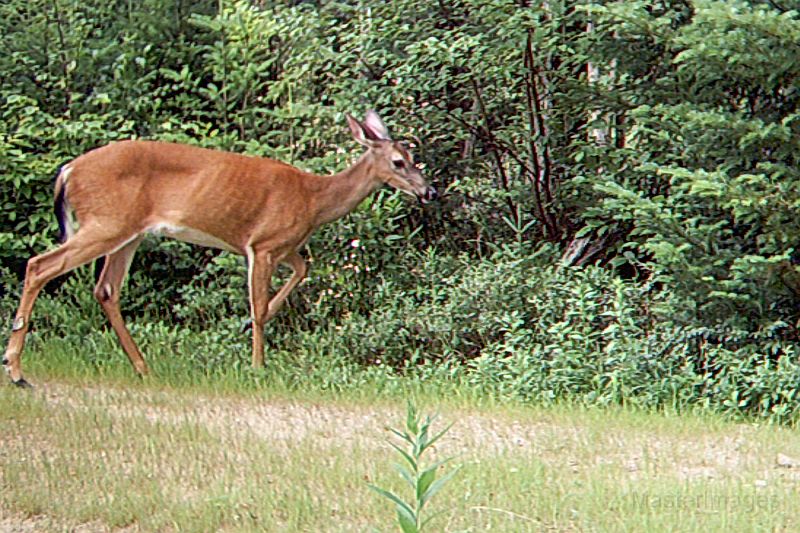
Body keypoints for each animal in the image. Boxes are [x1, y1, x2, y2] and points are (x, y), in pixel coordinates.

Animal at [1, 110, 438, 384]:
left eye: (414, 157)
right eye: (398, 162)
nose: (429, 191)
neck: (313, 199)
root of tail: (68, 170)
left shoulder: (285, 247)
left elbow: (301, 270)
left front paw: (257, 328)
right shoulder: (263, 244)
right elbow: (258, 307)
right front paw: (258, 365)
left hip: (129, 232)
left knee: (105, 289)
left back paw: (143, 367)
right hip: (106, 222)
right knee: (40, 265)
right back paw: (17, 370)